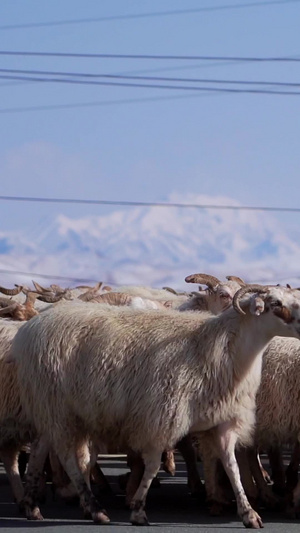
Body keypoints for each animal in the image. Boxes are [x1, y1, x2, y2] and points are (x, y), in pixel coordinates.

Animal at [10, 284, 300, 524]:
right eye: (275, 302)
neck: (222, 345)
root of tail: (30, 328)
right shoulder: (161, 417)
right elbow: (150, 467)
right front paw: (138, 509)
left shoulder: (223, 421)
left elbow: (232, 467)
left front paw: (249, 513)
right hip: (58, 407)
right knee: (68, 458)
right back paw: (93, 508)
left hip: (56, 408)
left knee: (40, 450)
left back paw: (32, 505)